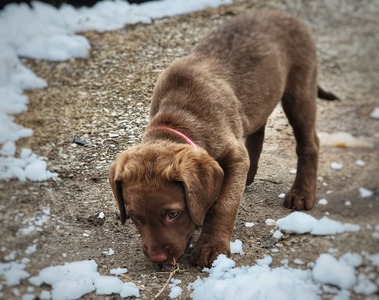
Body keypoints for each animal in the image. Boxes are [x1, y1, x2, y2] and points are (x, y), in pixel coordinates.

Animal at [109, 8, 338, 268]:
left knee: (309, 143)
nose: (158, 258)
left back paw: (301, 193)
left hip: (300, 89)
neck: (178, 117)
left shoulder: (234, 155)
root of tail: (280, 11)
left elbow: (222, 204)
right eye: (134, 216)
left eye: (173, 213)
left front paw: (212, 247)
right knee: (258, 131)